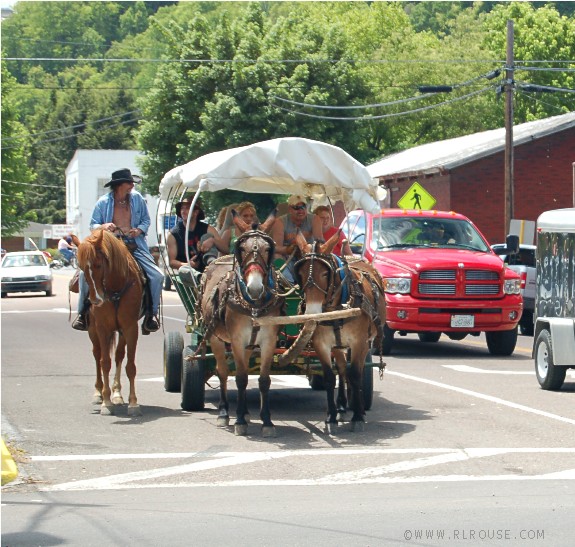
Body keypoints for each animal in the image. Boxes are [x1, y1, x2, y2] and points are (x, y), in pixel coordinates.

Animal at [72, 230, 145, 416]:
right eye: (81, 267)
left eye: (98, 265)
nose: (96, 300)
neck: (115, 290)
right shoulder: (102, 328)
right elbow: (104, 362)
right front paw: (106, 402)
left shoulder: (130, 327)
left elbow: (130, 366)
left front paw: (133, 403)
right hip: (93, 331)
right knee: (97, 355)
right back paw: (98, 393)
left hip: (121, 331)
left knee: (119, 355)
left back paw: (117, 394)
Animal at [198, 210, 284, 436]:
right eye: (242, 248)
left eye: (267, 249)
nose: (255, 288)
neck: (253, 305)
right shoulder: (236, 340)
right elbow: (241, 378)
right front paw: (238, 421)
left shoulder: (268, 341)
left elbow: (263, 380)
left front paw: (267, 421)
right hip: (216, 338)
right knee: (223, 372)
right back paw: (225, 413)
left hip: (248, 345)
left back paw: (244, 411)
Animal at [292, 230, 388, 432]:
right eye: (301, 273)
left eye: (324, 272)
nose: (312, 313)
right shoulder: (322, 344)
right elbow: (330, 376)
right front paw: (331, 416)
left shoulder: (359, 343)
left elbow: (356, 374)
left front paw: (358, 416)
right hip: (337, 345)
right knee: (342, 368)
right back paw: (342, 405)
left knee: (353, 369)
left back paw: (358, 407)